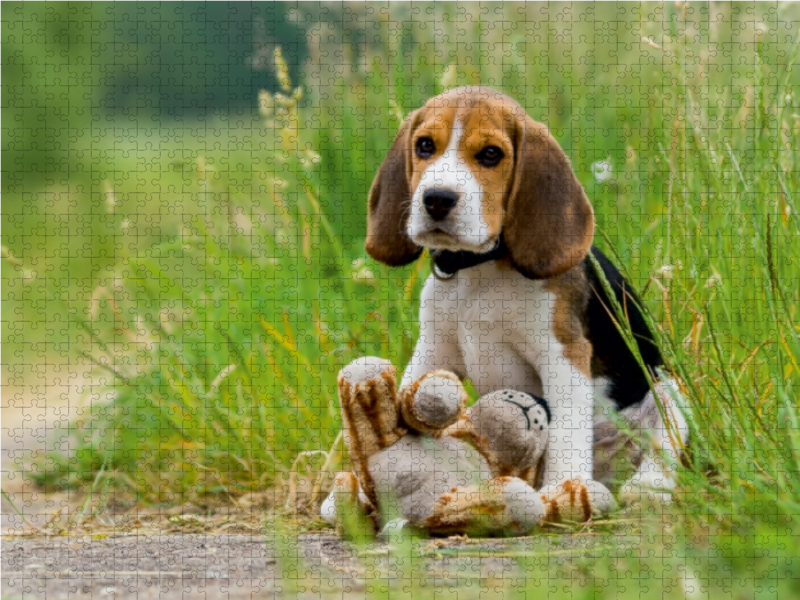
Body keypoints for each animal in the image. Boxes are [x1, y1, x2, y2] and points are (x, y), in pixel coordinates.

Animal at [368, 84, 688, 496]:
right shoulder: (433, 350)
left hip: (670, 391)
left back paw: (646, 488)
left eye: (491, 154)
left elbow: (566, 436)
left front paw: (563, 490)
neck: (481, 270)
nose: (437, 198)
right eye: (424, 146)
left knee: (663, 448)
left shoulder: (563, 354)